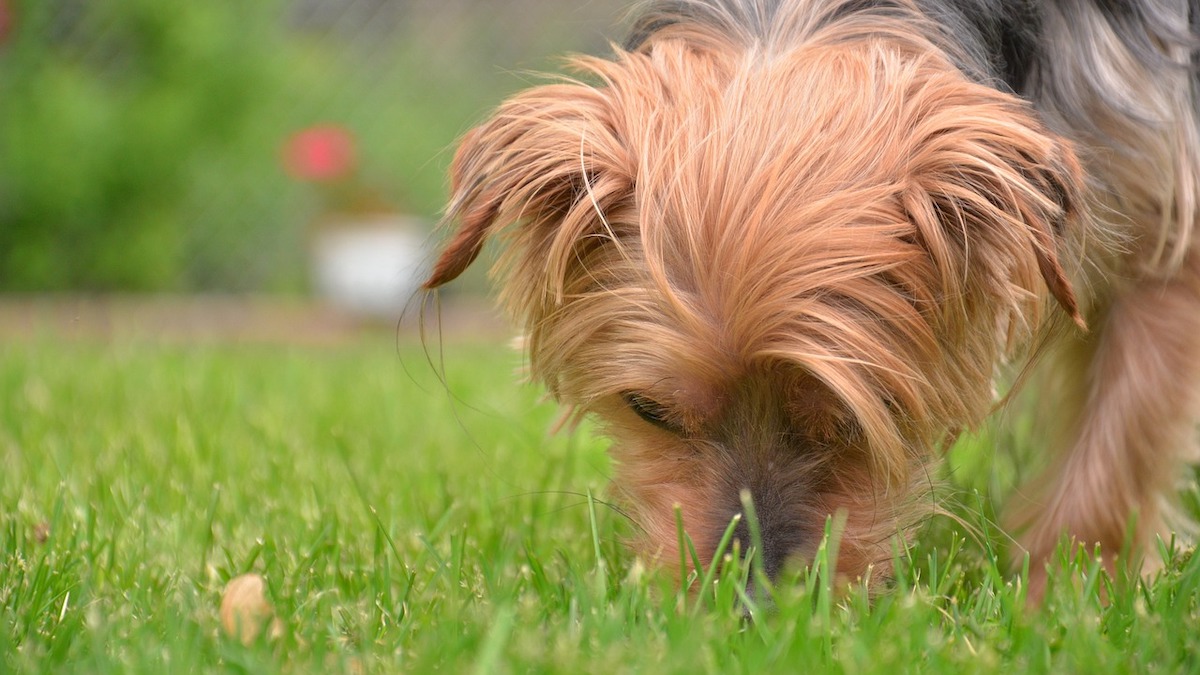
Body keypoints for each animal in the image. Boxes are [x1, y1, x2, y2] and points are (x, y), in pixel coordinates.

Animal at [424, 0, 1200, 593]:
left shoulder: (1164, 210)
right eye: (650, 411)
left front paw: (1063, 596)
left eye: (865, 415)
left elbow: (1120, 443)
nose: (752, 601)